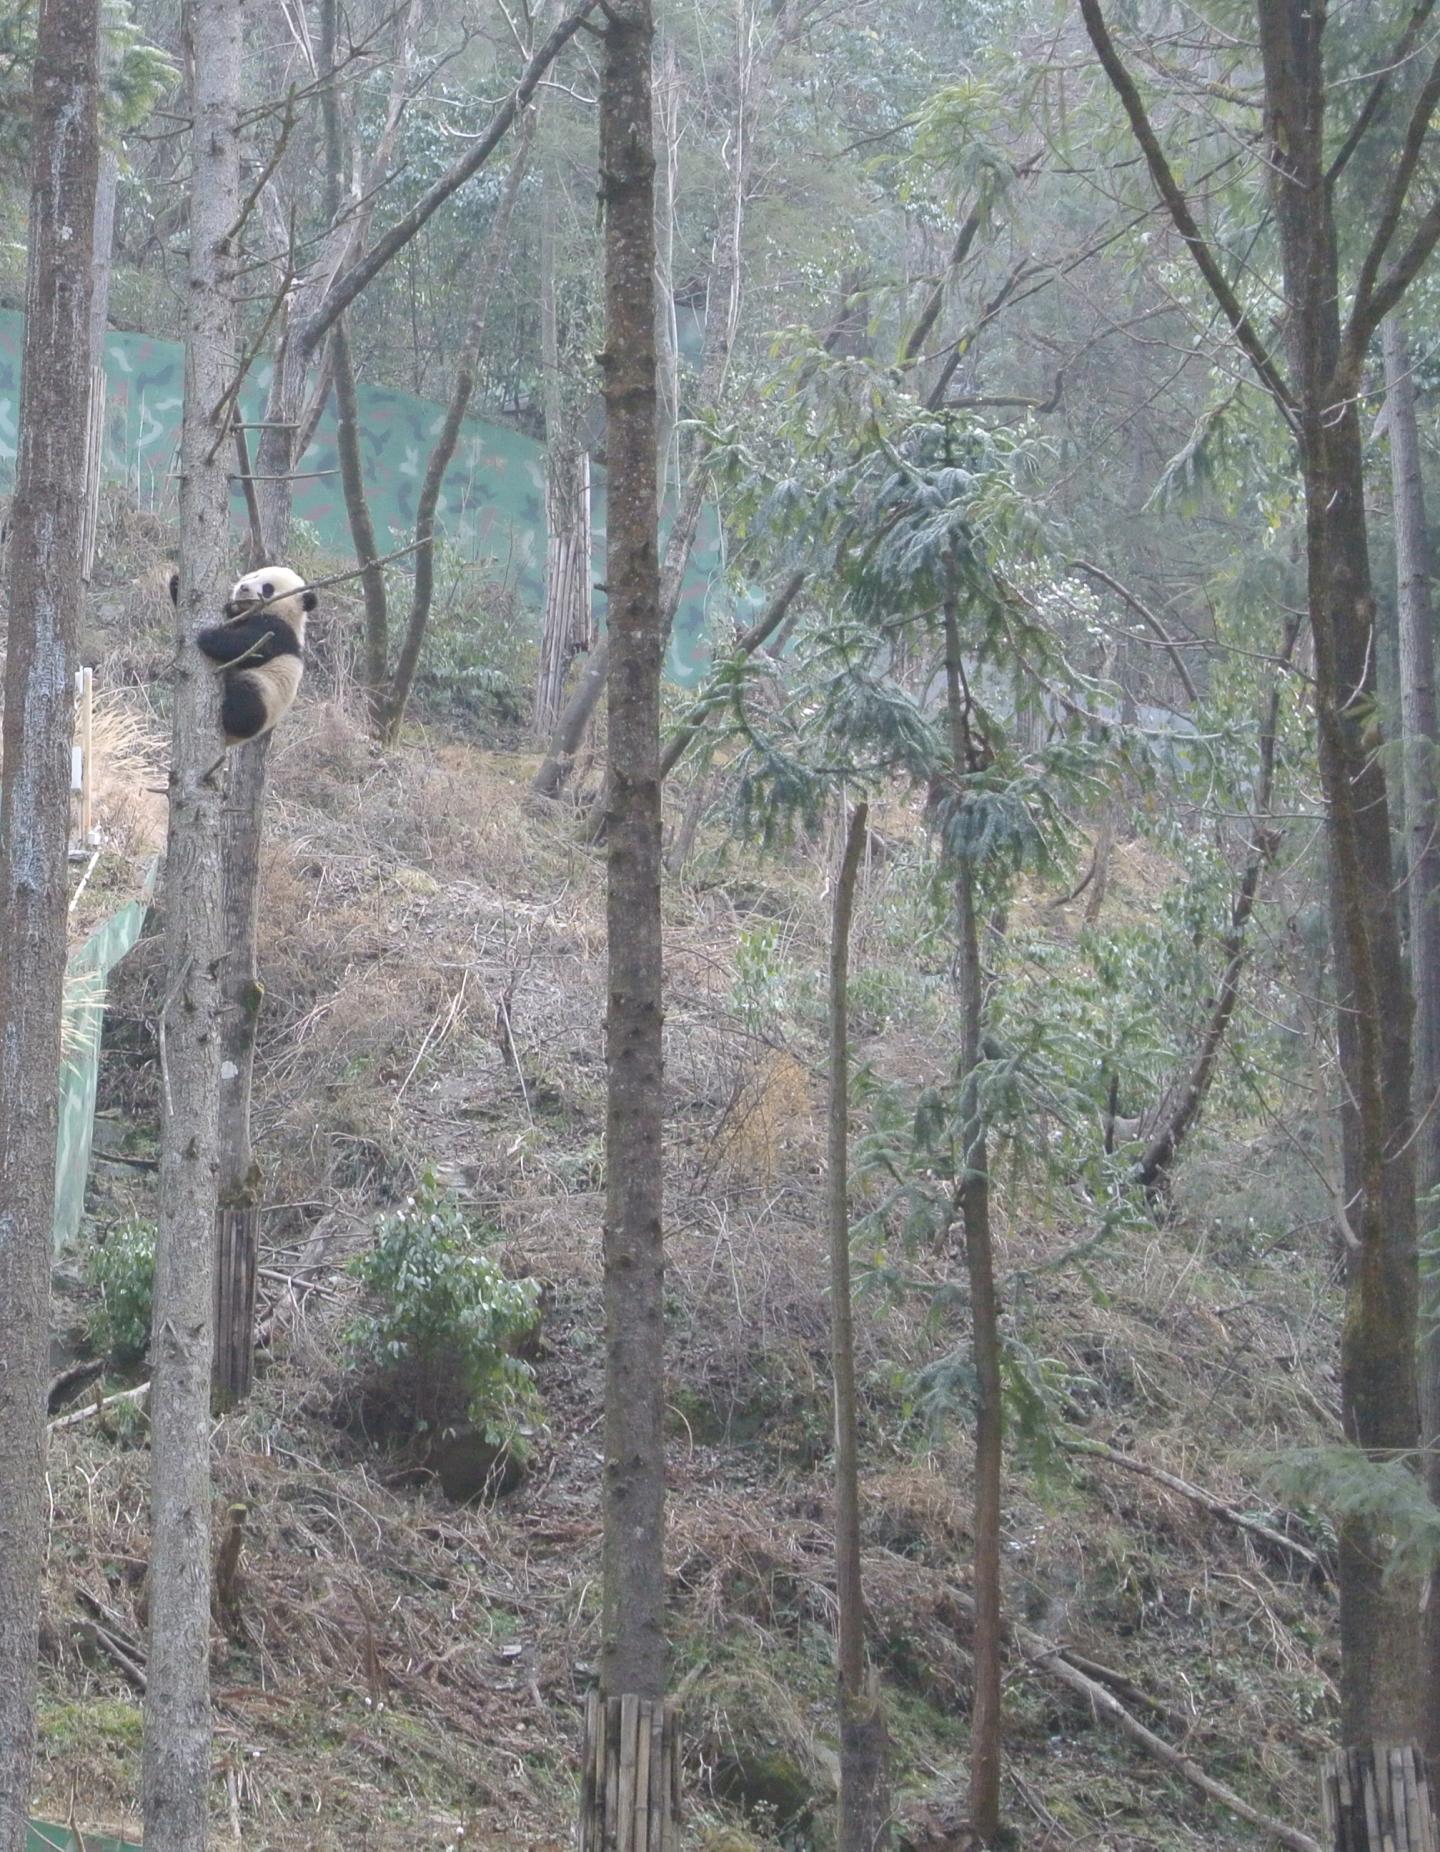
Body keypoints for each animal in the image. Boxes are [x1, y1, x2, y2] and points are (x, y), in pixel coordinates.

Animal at [170, 565, 316, 750]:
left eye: (268, 589)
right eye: (255, 575)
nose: (243, 588)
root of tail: (230, 740)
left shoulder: (278, 632)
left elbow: (247, 646)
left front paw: (208, 637)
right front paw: (176, 583)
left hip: (267, 692)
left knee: (247, 701)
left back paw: (229, 716)